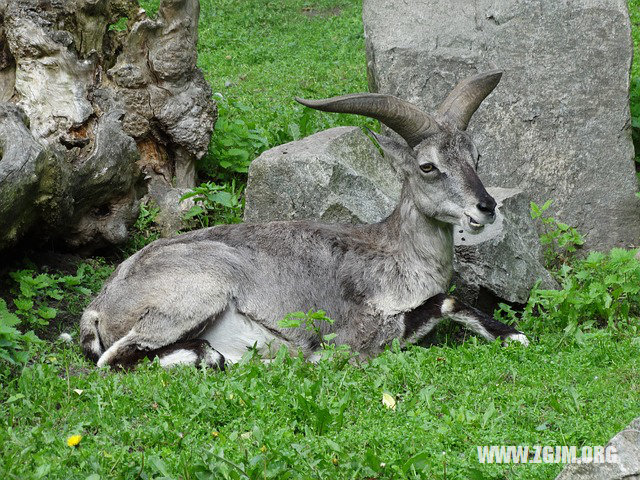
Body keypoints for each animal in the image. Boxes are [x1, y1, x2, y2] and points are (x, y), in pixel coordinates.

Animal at [80, 70, 528, 372]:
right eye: (428, 166)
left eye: (476, 156)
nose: (485, 206)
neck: (395, 253)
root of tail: (100, 307)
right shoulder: (359, 333)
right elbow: (444, 302)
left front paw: (512, 334)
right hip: (196, 293)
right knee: (116, 358)